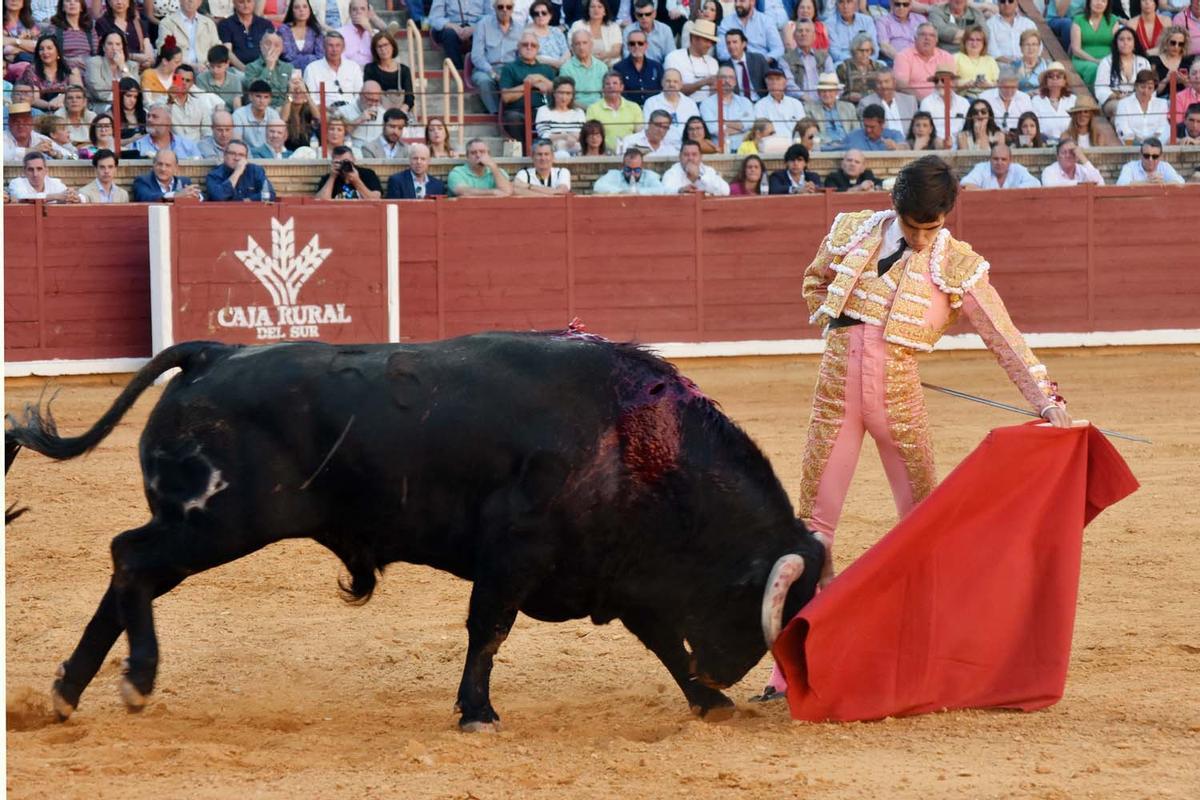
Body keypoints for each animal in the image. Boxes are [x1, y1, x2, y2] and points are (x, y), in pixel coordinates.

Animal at [4, 331, 820, 734]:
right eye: (766, 607)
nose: (732, 675)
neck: (636, 445)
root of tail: (214, 354)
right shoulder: (513, 556)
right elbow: (489, 631)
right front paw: (477, 713)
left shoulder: (617, 573)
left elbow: (663, 643)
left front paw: (707, 702)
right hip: (215, 525)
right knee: (131, 559)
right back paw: (134, 681)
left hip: (199, 527)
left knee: (126, 572)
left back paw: (67, 695)